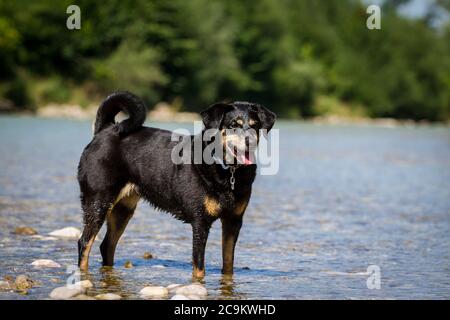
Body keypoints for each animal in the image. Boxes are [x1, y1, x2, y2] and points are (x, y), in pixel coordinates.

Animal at [77, 90, 274, 278]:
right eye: (234, 125)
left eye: (255, 125)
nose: (250, 141)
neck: (227, 169)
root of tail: (105, 130)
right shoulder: (200, 222)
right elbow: (199, 266)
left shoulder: (233, 221)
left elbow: (228, 264)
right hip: (98, 202)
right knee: (84, 243)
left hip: (122, 210)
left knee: (107, 246)